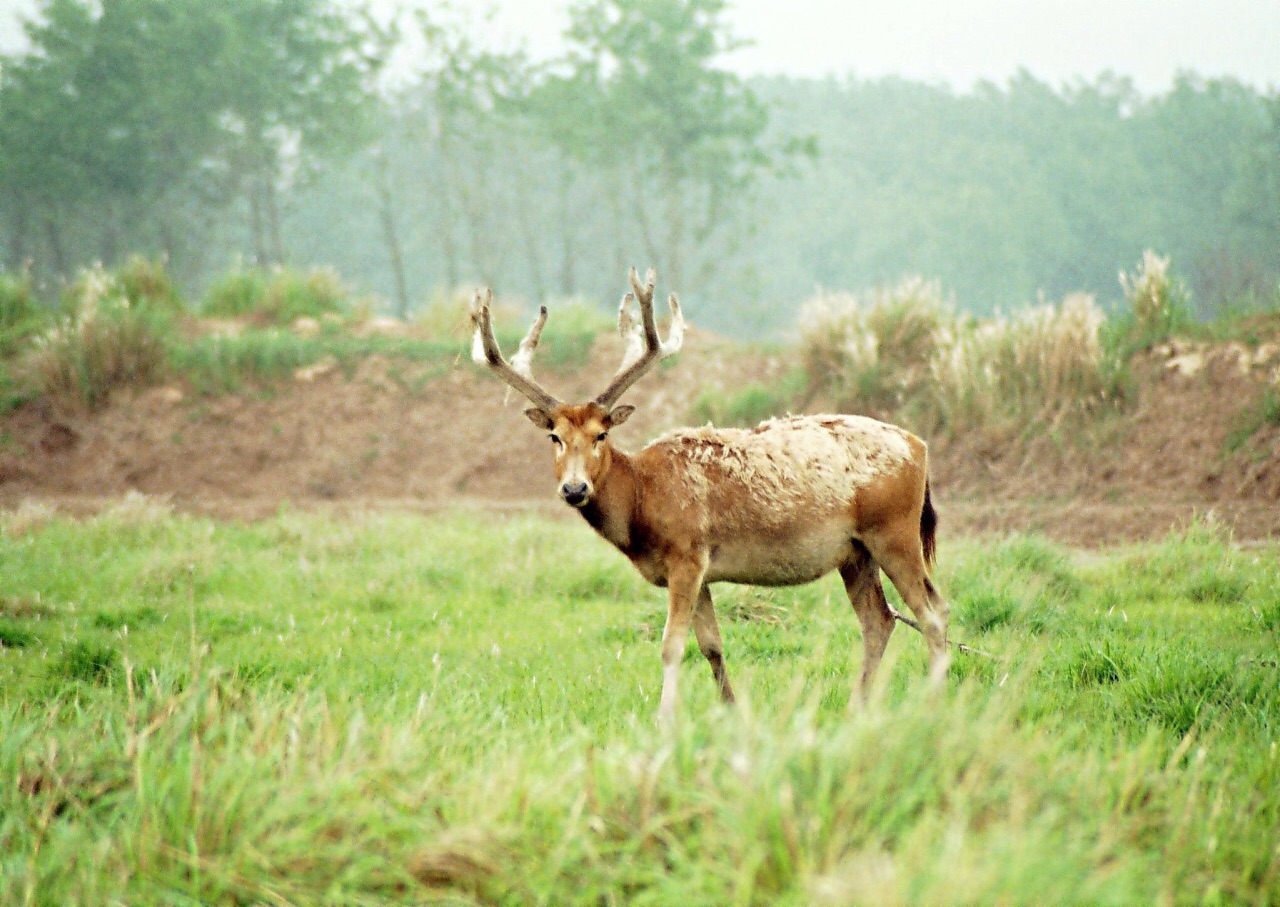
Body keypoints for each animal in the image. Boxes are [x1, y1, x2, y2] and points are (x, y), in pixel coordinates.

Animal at [473, 267, 952, 721]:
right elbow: (712, 646)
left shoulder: (687, 553)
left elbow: (672, 645)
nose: (574, 488)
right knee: (880, 620)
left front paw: (665, 719)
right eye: (554, 436)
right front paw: (731, 710)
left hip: (893, 531)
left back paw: (931, 703)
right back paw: (858, 707)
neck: (642, 501)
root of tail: (921, 449)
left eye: (601, 434)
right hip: (854, 552)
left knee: (933, 612)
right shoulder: (700, 569)